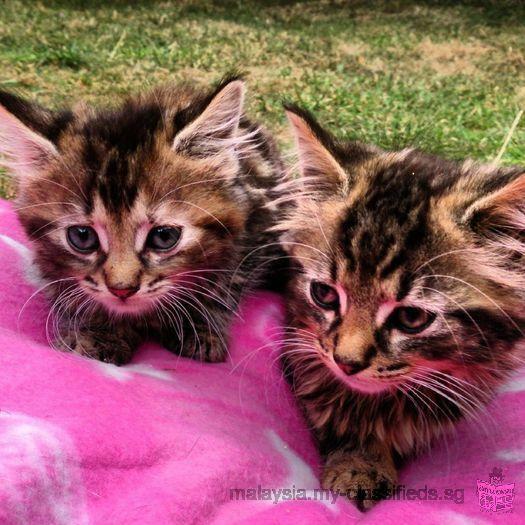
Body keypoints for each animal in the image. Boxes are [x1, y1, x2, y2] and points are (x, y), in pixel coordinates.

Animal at [0, 77, 284, 364]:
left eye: (164, 236)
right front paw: (98, 331)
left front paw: (199, 323)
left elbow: (227, 283)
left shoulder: (255, 231)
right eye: (82, 236)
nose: (122, 290)